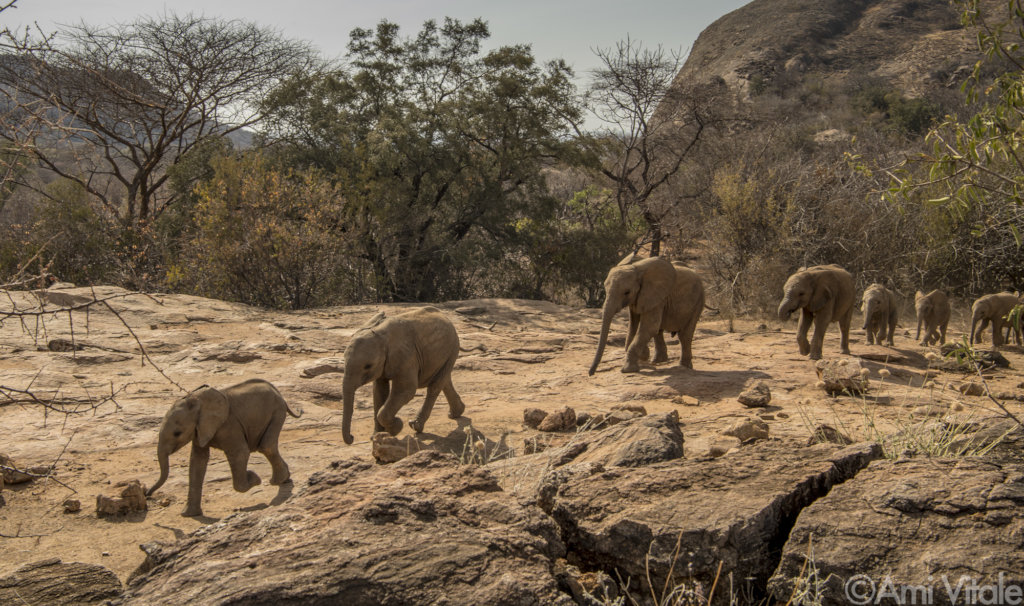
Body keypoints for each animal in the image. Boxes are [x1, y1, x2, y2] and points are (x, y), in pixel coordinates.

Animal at [147, 379, 301, 517]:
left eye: (177, 433)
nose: (147, 494)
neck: (196, 401)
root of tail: (277, 392)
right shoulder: (200, 429)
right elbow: (197, 461)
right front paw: (188, 515)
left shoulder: (228, 425)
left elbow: (240, 452)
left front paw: (255, 478)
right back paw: (284, 479)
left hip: (277, 411)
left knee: (266, 446)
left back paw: (276, 481)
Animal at [341, 307, 465, 445]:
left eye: (367, 366)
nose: (352, 437)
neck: (382, 336)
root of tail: (445, 317)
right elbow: (379, 392)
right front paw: (377, 436)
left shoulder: (407, 356)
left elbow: (406, 390)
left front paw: (396, 428)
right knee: (444, 380)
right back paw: (455, 413)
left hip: (453, 347)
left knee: (435, 386)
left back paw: (416, 425)